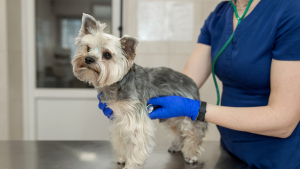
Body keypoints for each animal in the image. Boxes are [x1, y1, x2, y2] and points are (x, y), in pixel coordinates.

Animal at [72, 13, 209, 169]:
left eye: (107, 55)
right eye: (88, 48)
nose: (88, 59)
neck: (118, 84)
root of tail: (191, 81)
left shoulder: (136, 120)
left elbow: (136, 144)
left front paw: (132, 164)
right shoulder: (118, 119)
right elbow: (121, 139)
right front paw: (123, 158)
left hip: (188, 113)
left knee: (194, 132)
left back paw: (191, 154)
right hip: (173, 114)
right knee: (178, 130)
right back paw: (176, 146)